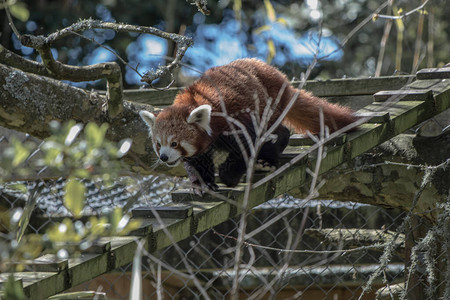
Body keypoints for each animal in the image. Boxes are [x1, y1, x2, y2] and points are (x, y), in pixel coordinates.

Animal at [139, 58, 356, 195]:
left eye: (174, 143)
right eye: (158, 144)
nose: (164, 157)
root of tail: (278, 76)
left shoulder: (234, 122)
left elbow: (246, 147)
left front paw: (228, 176)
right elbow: (197, 162)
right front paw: (201, 184)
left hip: (268, 106)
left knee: (277, 131)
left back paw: (268, 157)